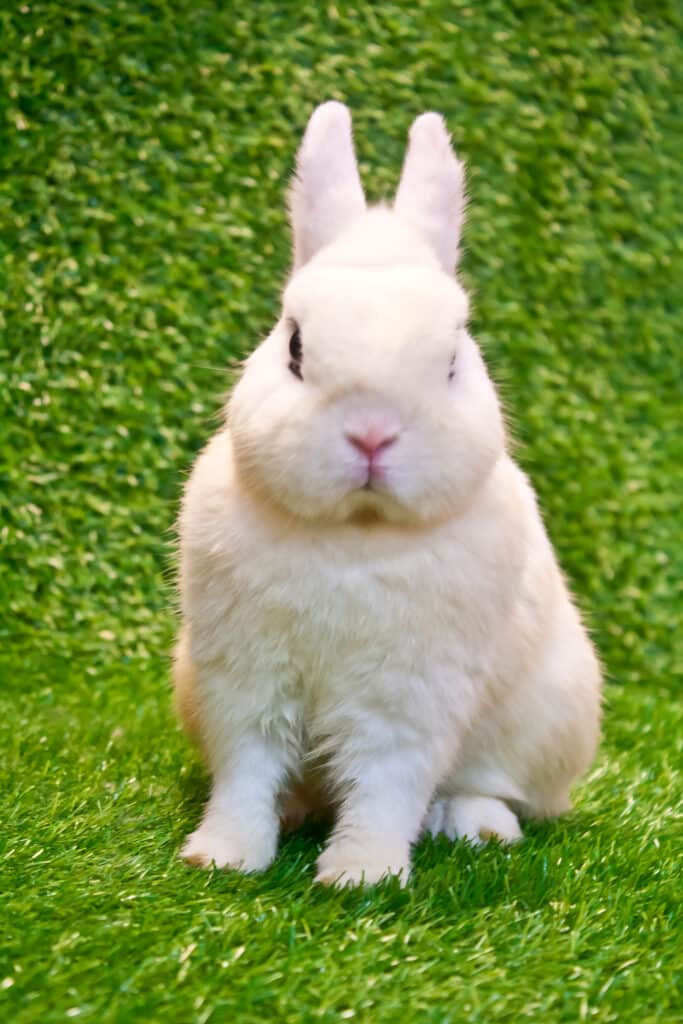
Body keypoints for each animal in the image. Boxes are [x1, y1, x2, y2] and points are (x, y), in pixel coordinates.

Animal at [173, 101, 602, 886]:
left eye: (455, 356)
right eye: (294, 346)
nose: (372, 432)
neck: (355, 534)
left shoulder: (410, 695)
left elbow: (385, 786)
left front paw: (360, 876)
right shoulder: (241, 680)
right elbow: (245, 773)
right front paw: (221, 857)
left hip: (549, 717)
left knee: (491, 786)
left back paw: (477, 826)